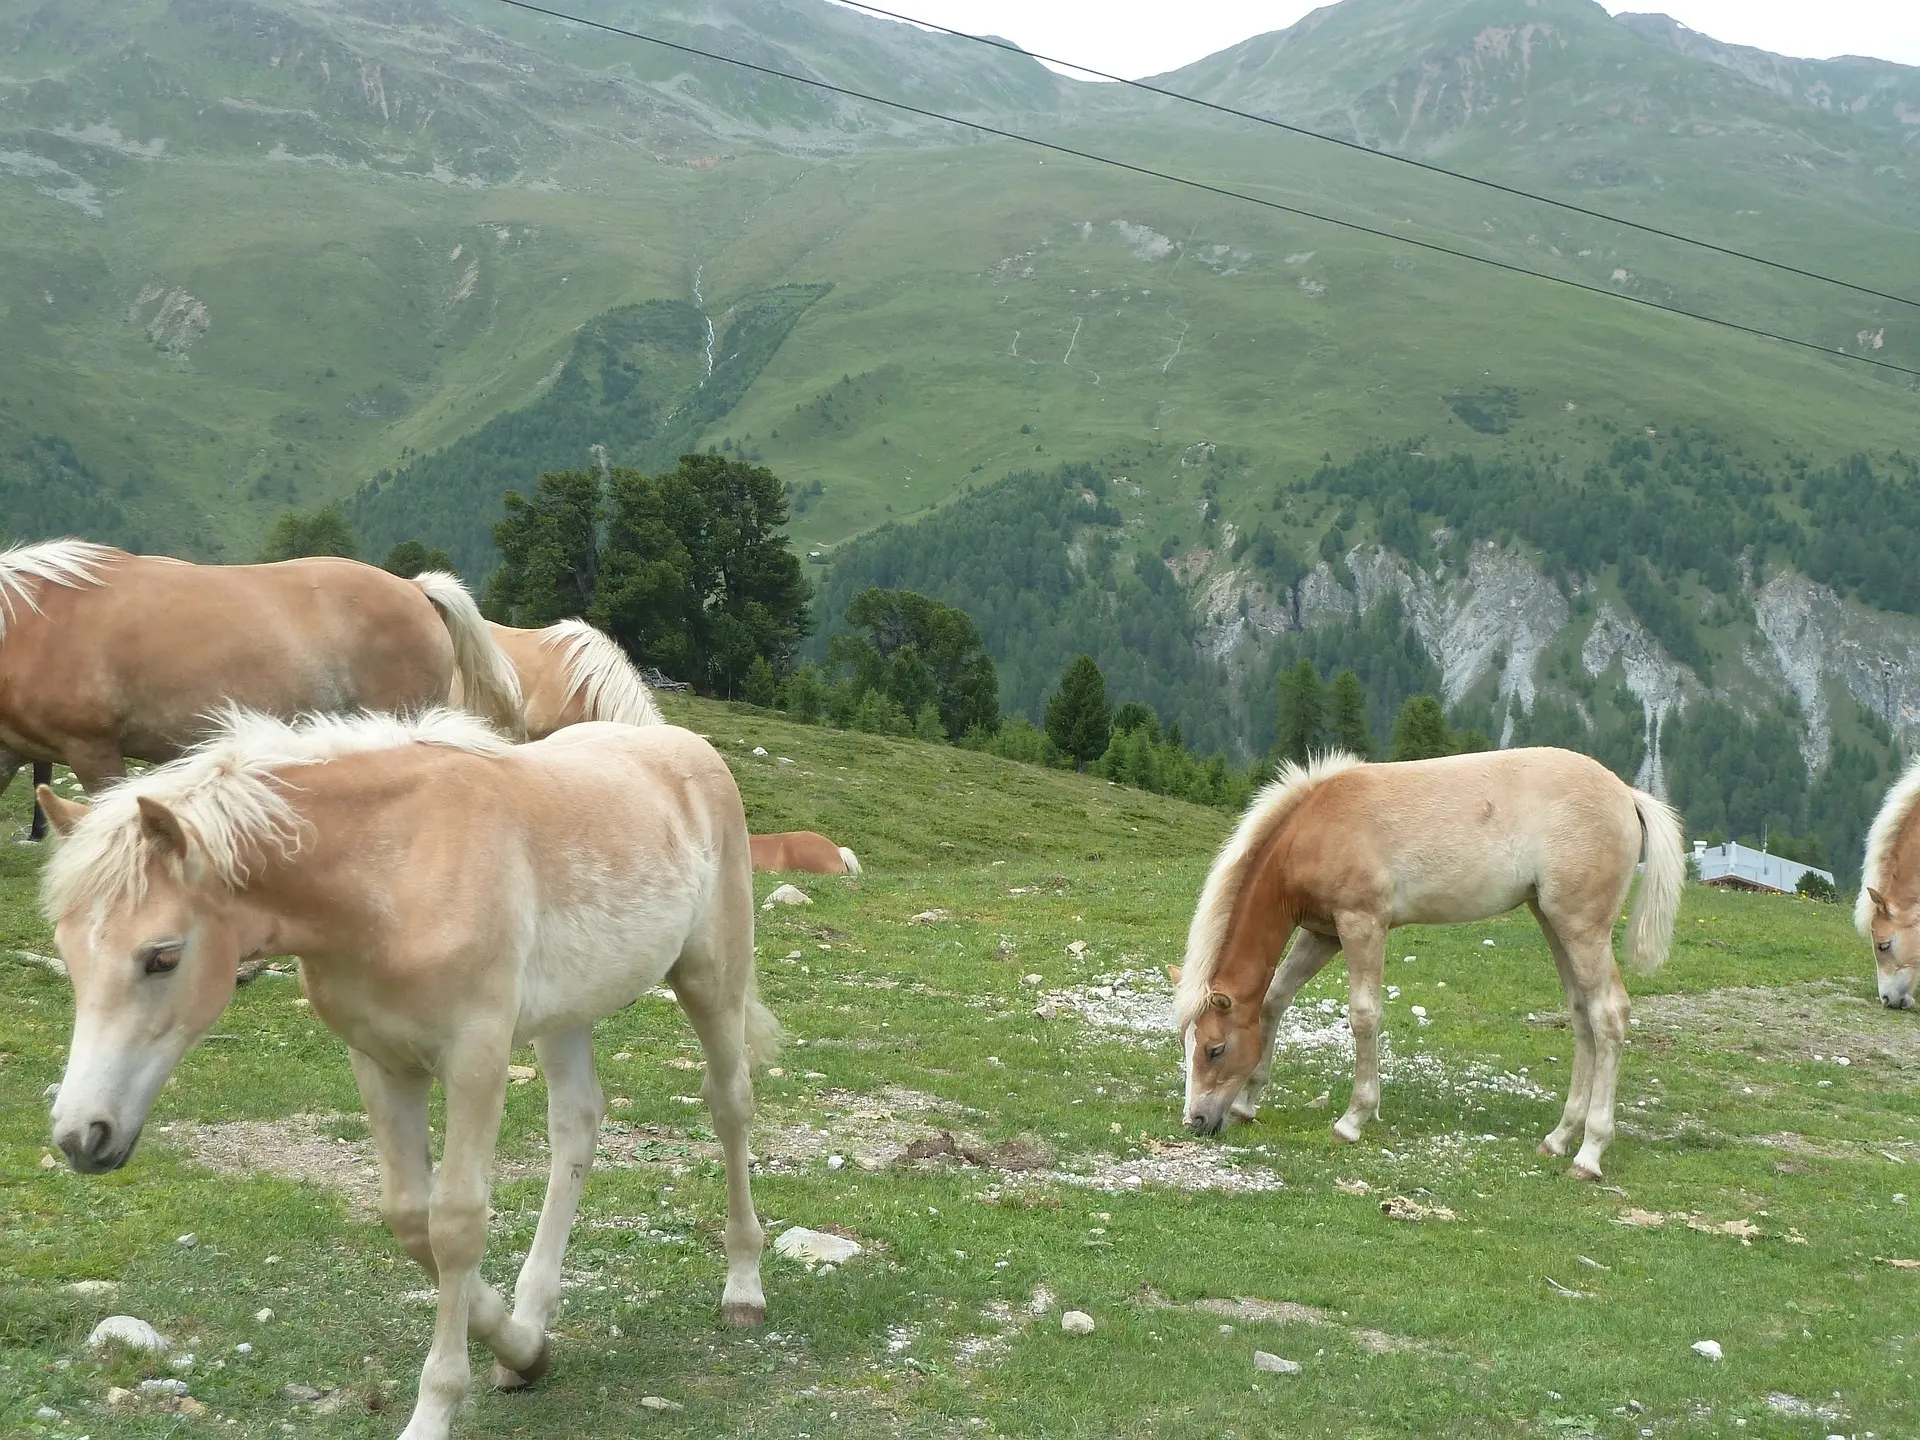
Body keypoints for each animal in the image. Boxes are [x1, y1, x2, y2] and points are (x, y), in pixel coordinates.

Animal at [39, 710, 771, 1440]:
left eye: (162, 957)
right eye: (68, 954)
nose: (83, 1136)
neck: (393, 870)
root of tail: (679, 744)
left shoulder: (476, 1057)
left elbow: (457, 1222)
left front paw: (436, 1407)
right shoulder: (381, 1061)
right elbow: (410, 1218)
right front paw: (523, 1350)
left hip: (710, 979)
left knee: (728, 1104)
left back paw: (743, 1287)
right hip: (567, 1013)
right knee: (577, 1125)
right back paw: (533, 1319)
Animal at [1167, 748, 1681, 1175]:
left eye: (1214, 1049)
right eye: (1186, 1045)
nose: (1196, 1120)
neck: (1317, 827)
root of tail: (1627, 794)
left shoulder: (1361, 924)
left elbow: (1363, 1016)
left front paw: (1353, 1119)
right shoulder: (1323, 934)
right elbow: (1274, 1000)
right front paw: (1247, 1103)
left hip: (1581, 927)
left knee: (1608, 1014)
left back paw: (1589, 1154)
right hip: (1552, 920)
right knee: (1582, 1016)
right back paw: (1558, 1138)